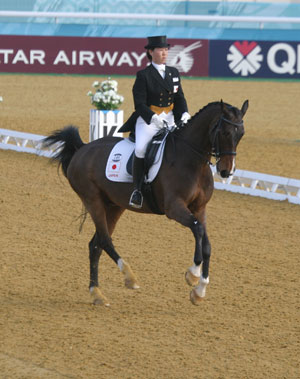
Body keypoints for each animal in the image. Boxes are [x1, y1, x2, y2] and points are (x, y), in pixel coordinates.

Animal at [42, 100, 248, 306]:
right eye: (224, 132)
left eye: (241, 134)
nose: (226, 171)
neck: (192, 161)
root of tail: (82, 149)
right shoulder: (174, 208)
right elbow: (197, 230)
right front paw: (193, 275)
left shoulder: (199, 209)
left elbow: (206, 244)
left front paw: (199, 291)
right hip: (93, 201)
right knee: (105, 240)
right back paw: (129, 277)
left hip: (114, 206)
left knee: (95, 245)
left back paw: (97, 294)